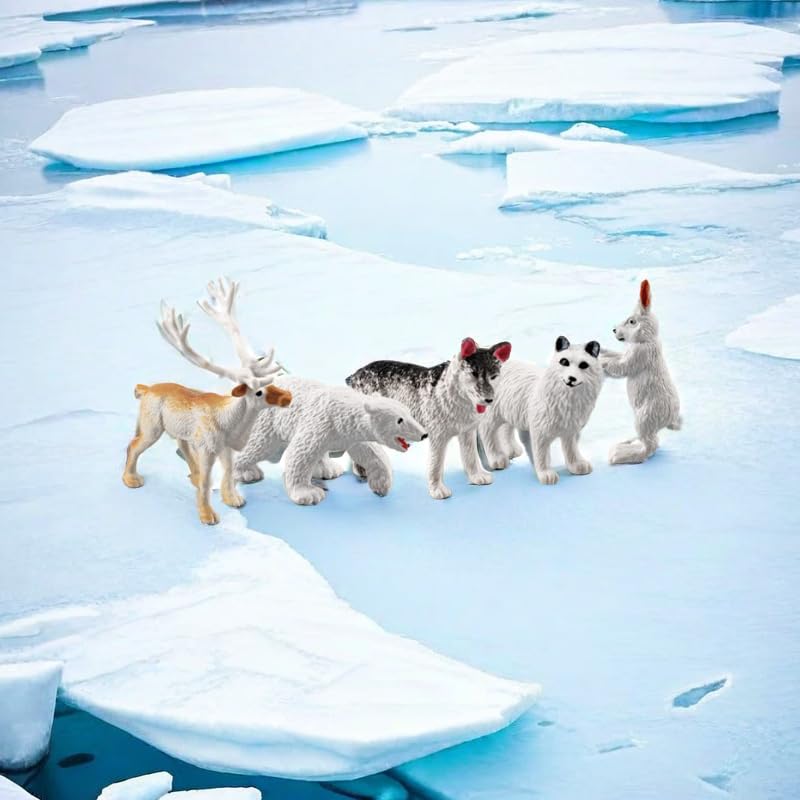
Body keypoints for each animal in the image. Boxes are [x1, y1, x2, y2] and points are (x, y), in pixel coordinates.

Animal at [122, 285, 292, 525]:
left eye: (272, 383)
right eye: (258, 391)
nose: (288, 397)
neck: (232, 424)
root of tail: (144, 389)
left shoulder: (226, 448)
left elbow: (228, 472)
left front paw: (232, 499)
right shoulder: (206, 449)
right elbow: (207, 481)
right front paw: (207, 515)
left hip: (180, 431)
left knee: (181, 445)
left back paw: (192, 475)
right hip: (152, 426)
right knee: (134, 444)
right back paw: (131, 479)